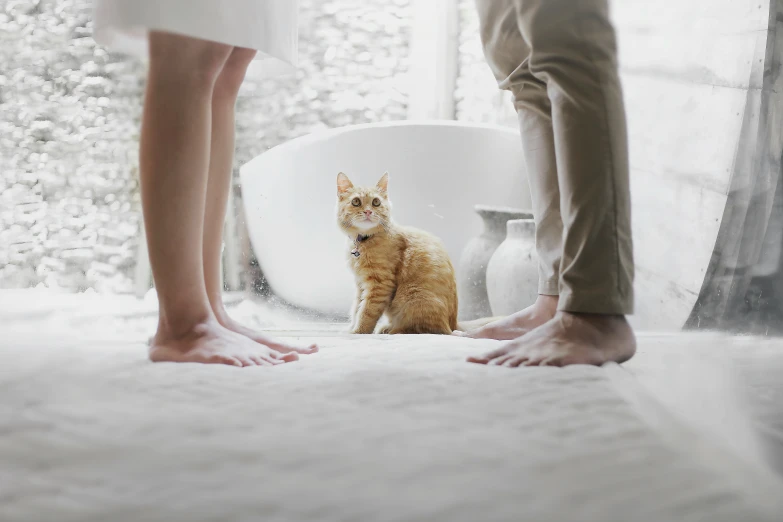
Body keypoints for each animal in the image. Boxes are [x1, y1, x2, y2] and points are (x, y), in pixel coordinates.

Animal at [336, 171, 466, 334]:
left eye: (376, 202)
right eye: (356, 202)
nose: (368, 211)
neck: (363, 241)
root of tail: (453, 326)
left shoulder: (380, 284)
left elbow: (366, 311)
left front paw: (358, 331)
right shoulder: (360, 283)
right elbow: (356, 308)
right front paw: (351, 327)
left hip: (413, 298)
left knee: (416, 328)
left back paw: (390, 330)